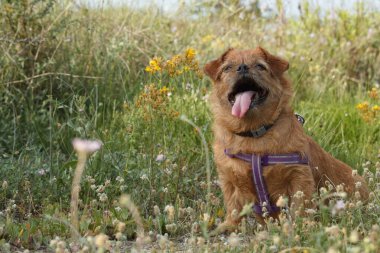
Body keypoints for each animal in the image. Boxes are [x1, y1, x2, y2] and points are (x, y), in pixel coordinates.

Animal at [205, 46, 368, 230]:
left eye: (260, 66)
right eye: (227, 68)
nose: (242, 67)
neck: (253, 135)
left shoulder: (298, 177)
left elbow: (300, 207)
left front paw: (300, 226)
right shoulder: (229, 181)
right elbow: (234, 207)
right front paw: (230, 226)